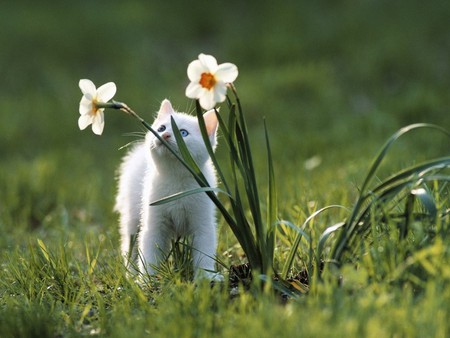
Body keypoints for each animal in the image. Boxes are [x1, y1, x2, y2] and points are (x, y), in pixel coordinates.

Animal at [114, 99, 221, 282]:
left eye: (183, 133)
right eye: (162, 128)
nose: (164, 135)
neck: (176, 181)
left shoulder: (203, 221)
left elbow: (204, 251)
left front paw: (205, 277)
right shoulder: (154, 222)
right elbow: (149, 251)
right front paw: (146, 281)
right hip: (133, 215)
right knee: (131, 244)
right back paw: (130, 274)